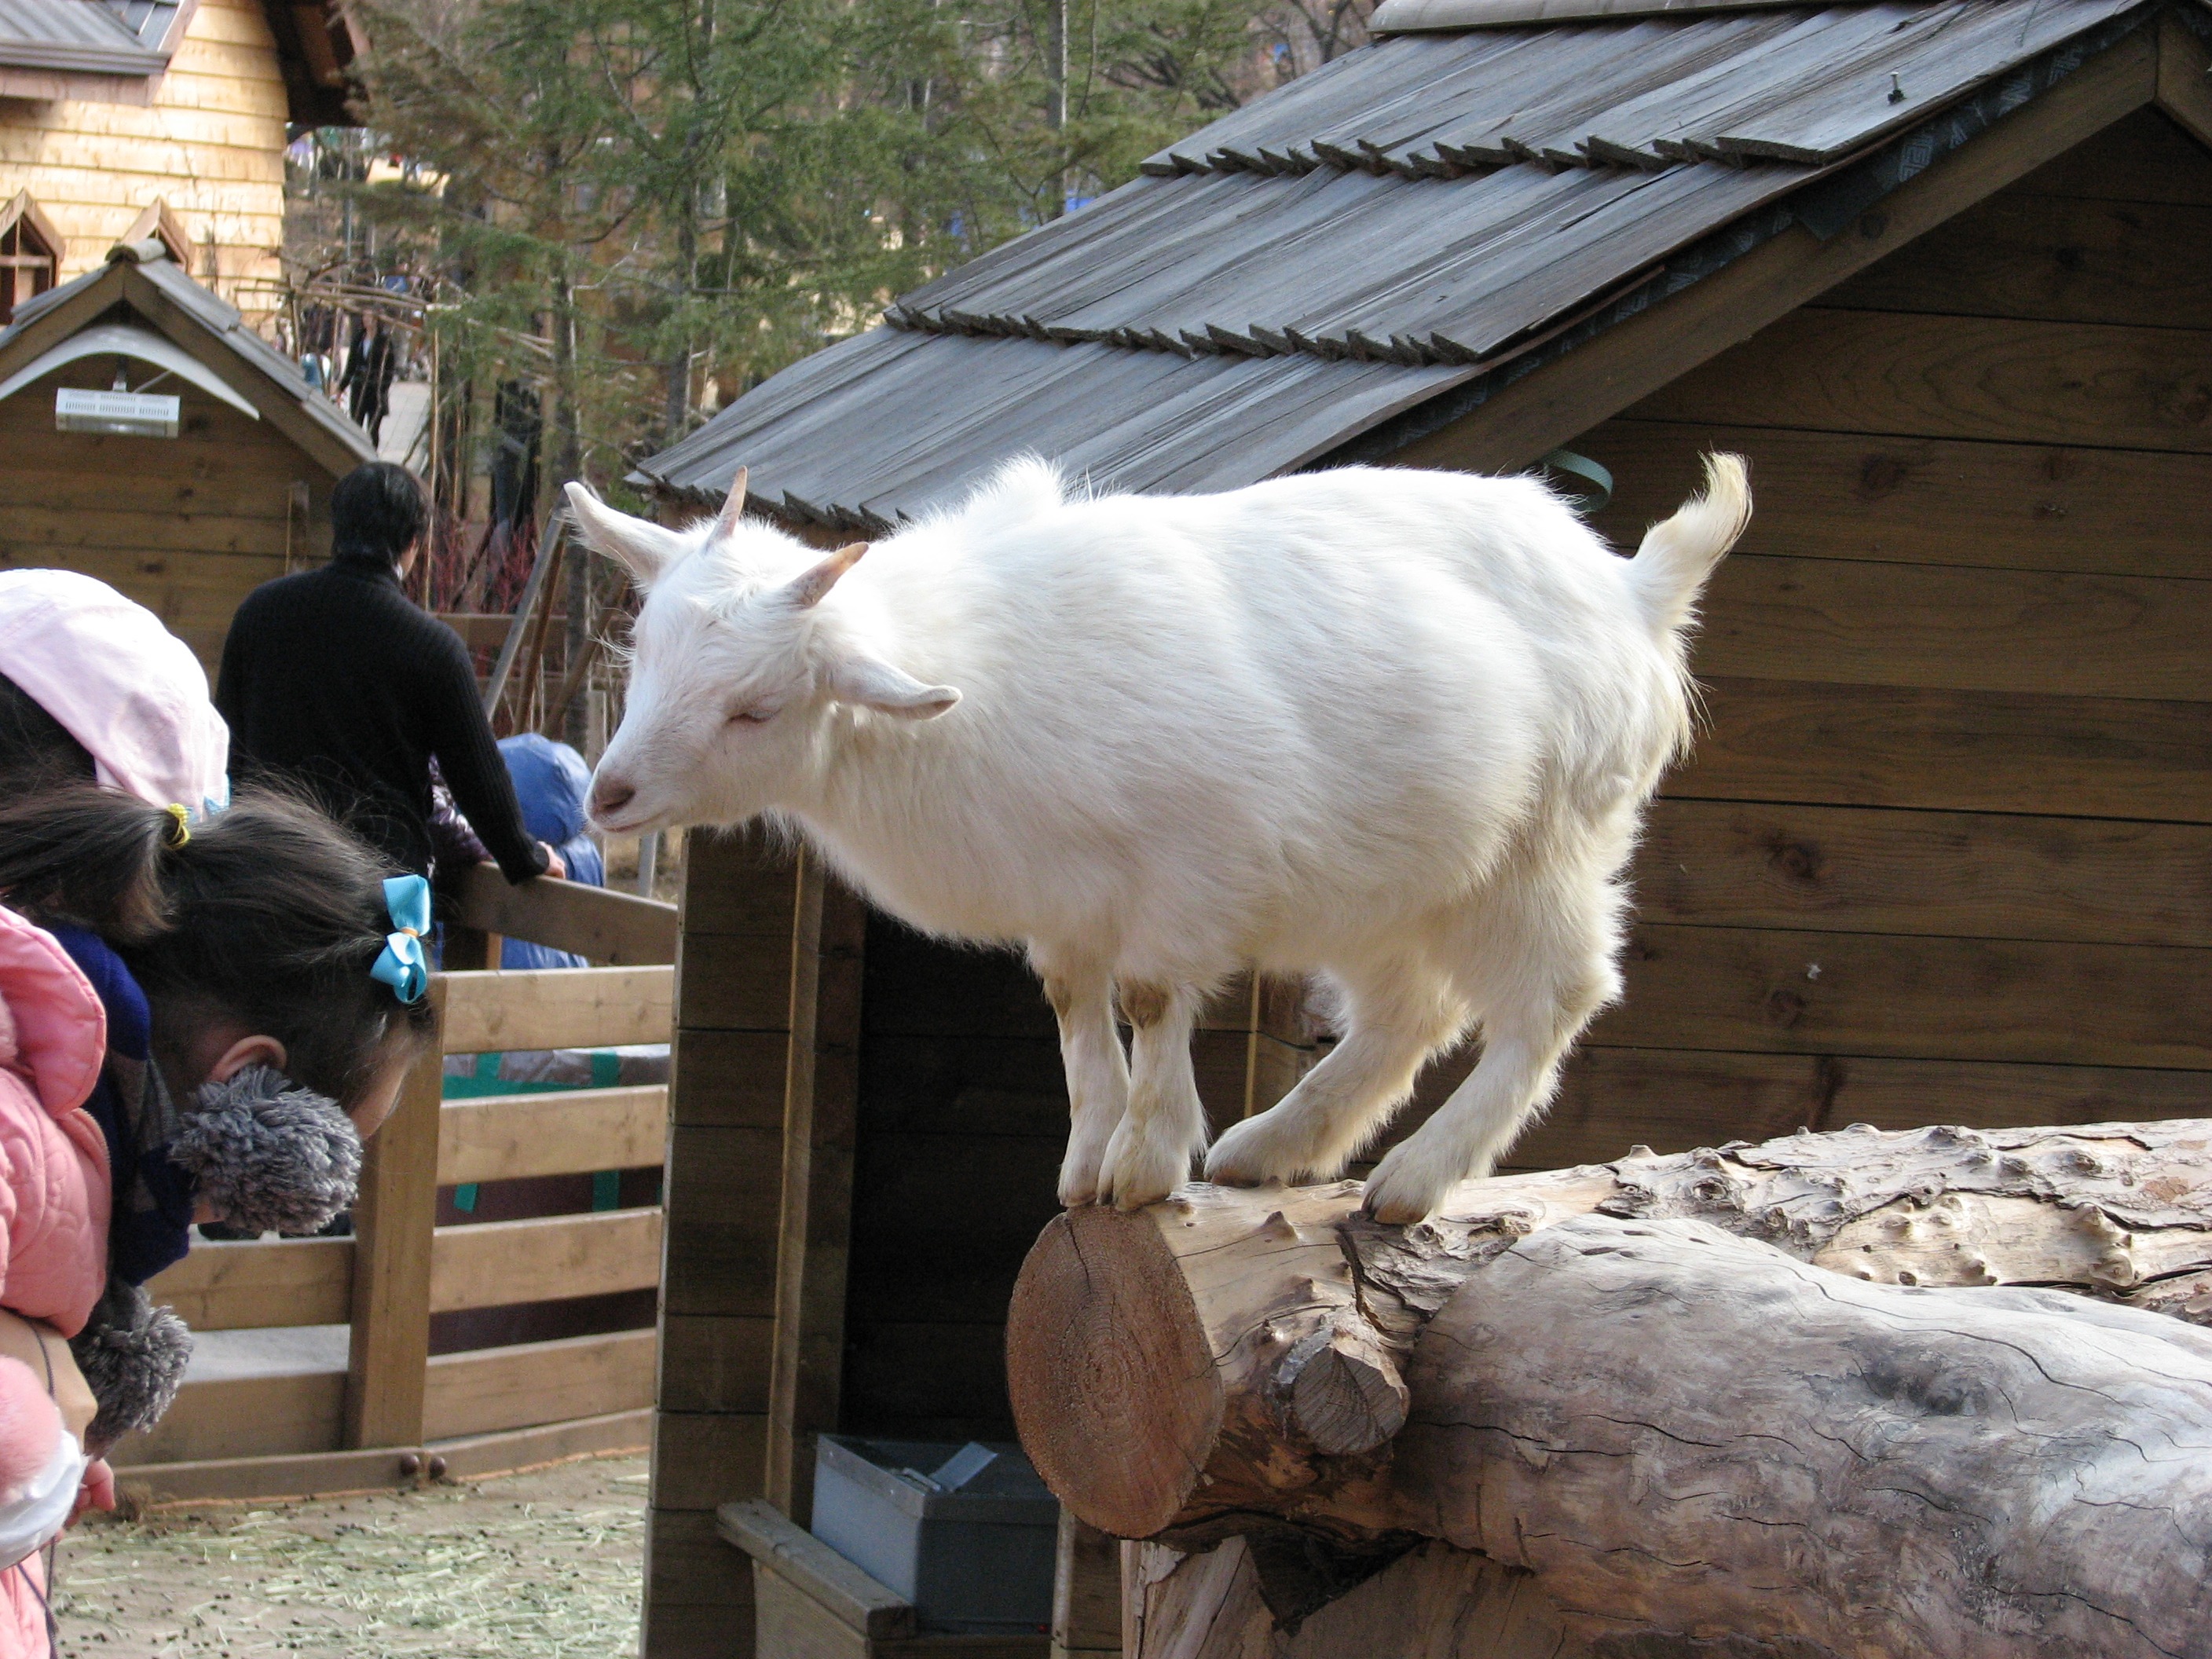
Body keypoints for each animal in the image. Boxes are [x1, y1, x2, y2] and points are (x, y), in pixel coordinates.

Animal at [566, 456, 1743, 1221]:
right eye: (645, 646)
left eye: (757, 708)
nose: (609, 797)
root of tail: (1635, 589)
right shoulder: (1065, 906)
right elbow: (1075, 1010)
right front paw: (1089, 1164)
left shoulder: (1189, 874)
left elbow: (1147, 1000)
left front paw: (1144, 1163)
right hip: (1386, 887)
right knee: (1408, 1013)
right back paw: (1275, 1147)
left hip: (1543, 848)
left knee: (1554, 997)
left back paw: (1414, 1179)